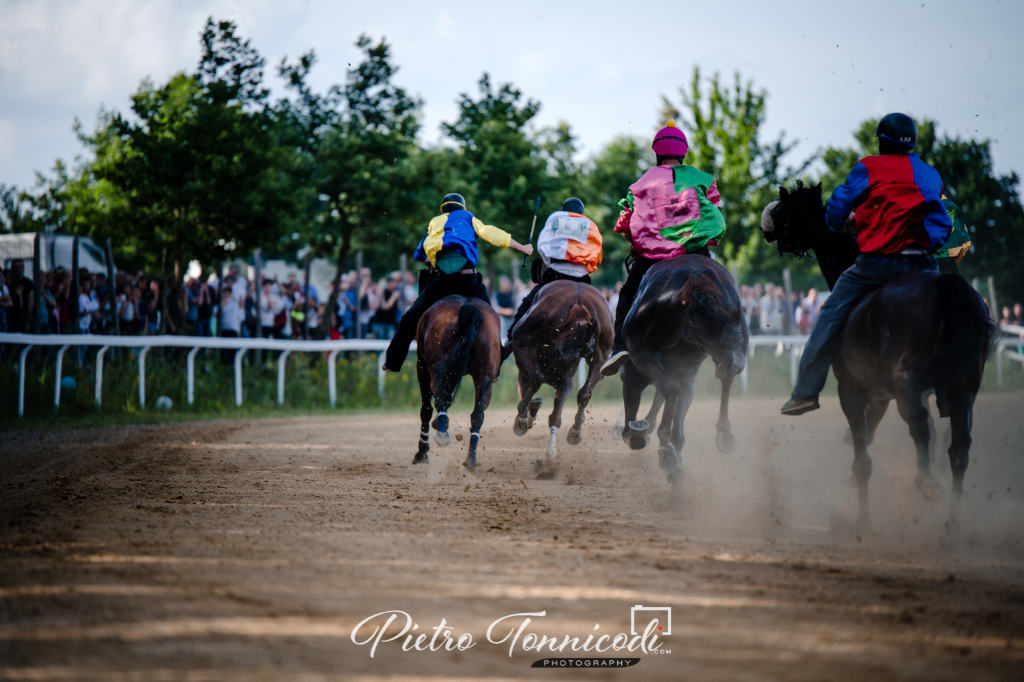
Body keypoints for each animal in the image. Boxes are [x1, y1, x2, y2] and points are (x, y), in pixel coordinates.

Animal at [411, 294, 499, 471]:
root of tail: (469, 306)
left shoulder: (421, 364)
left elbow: (426, 409)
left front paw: (422, 452)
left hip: (437, 368)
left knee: (440, 398)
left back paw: (442, 432)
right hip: (484, 376)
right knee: (478, 415)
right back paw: (470, 460)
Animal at [507, 276, 610, 462]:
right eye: (576, 347)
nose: (588, 348)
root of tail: (579, 298)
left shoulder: (522, 349)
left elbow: (532, 385)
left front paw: (524, 417)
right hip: (601, 356)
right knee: (584, 393)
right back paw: (575, 431)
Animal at [618, 254, 749, 483]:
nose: (628, 435)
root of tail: (696, 281)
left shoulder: (640, 366)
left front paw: (645, 435)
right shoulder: (685, 373)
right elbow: (678, 402)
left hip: (642, 351)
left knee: (670, 388)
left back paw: (658, 442)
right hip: (733, 333)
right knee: (728, 370)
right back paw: (723, 433)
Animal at [761, 183, 991, 528]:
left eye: (785, 209)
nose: (766, 225)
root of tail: (947, 289)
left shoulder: (852, 391)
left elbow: (863, 456)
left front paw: (862, 520)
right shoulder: (881, 395)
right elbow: (867, 441)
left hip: (909, 380)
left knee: (920, 424)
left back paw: (926, 483)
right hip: (963, 385)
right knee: (958, 448)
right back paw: (951, 524)